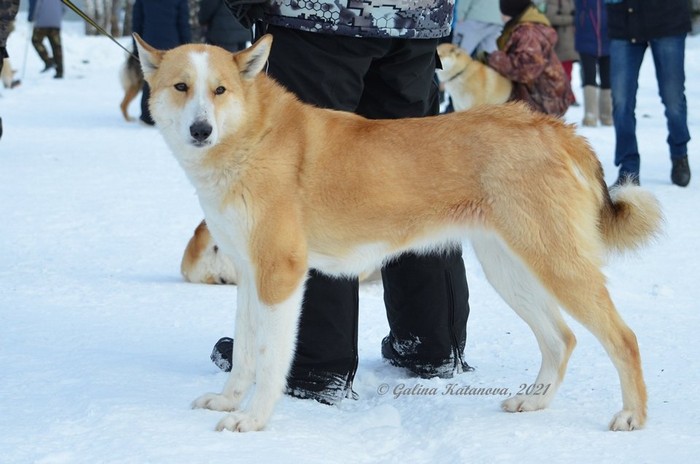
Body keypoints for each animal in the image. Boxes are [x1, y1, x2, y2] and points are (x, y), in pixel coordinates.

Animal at [135, 33, 662, 433]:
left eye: (220, 90)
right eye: (181, 86)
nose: (201, 130)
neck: (254, 138)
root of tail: (555, 129)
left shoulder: (281, 275)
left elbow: (268, 358)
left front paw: (253, 420)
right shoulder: (249, 276)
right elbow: (245, 353)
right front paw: (229, 402)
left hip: (554, 264)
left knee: (624, 337)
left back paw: (633, 416)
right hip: (510, 270)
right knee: (562, 339)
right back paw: (535, 402)